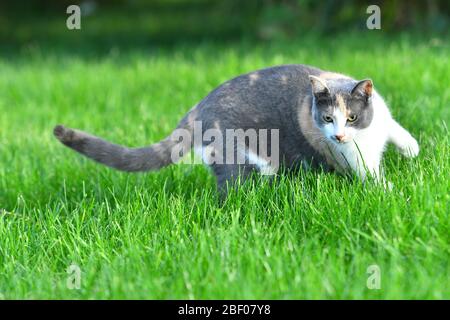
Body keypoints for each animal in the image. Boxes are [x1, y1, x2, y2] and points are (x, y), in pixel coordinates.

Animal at [54, 64, 420, 195]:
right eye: (328, 119)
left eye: (352, 118)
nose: (339, 135)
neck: (366, 138)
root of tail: (197, 108)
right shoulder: (352, 159)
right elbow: (370, 176)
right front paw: (392, 191)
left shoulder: (383, 118)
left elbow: (395, 128)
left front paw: (411, 149)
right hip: (238, 158)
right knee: (230, 191)